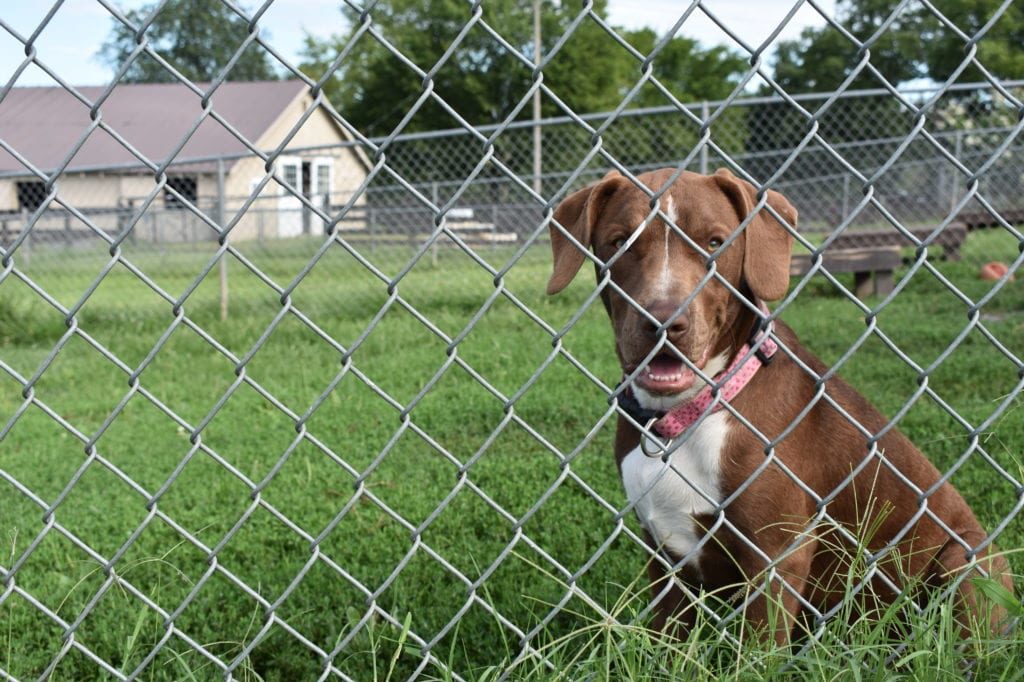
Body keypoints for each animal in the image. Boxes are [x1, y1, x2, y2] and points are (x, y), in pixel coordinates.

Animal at [548, 166, 1011, 638]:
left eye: (715, 243)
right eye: (619, 241)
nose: (663, 321)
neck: (686, 417)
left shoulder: (775, 556)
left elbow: (757, 647)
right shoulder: (665, 557)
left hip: (967, 566)